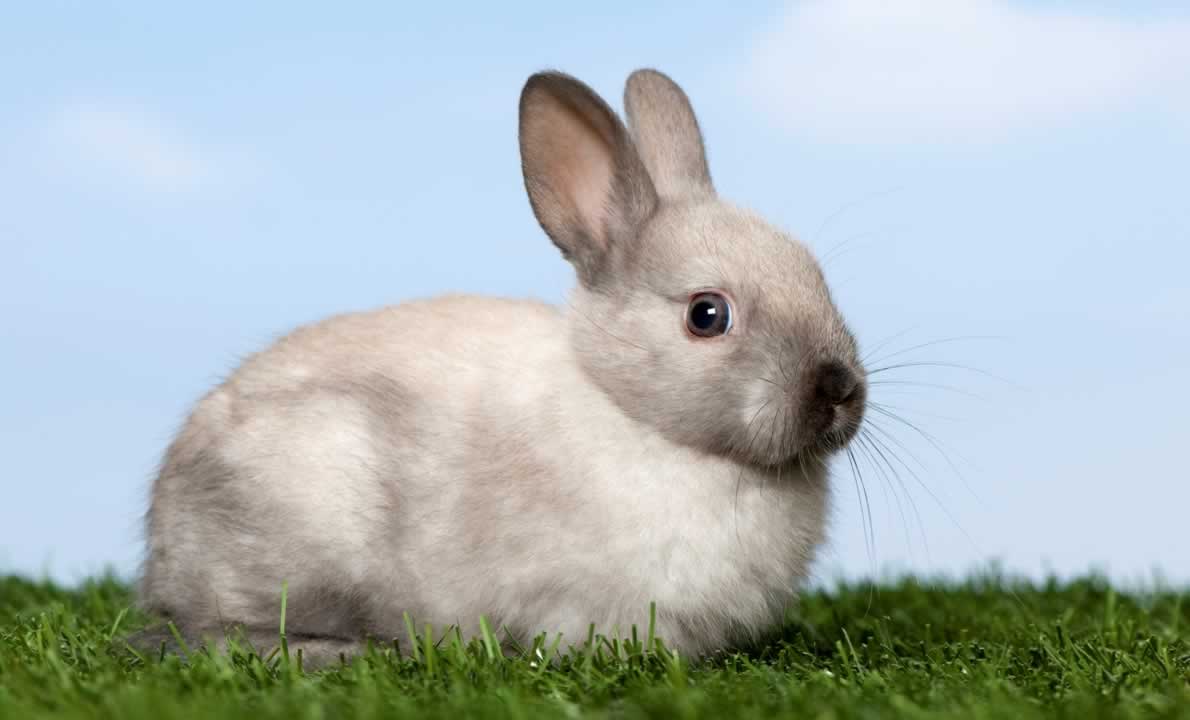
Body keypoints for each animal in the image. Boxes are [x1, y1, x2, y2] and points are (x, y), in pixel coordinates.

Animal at [136, 70, 866, 666]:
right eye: (707, 315)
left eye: (816, 274)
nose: (839, 390)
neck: (632, 413)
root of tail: (161, 547)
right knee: (217, 635)